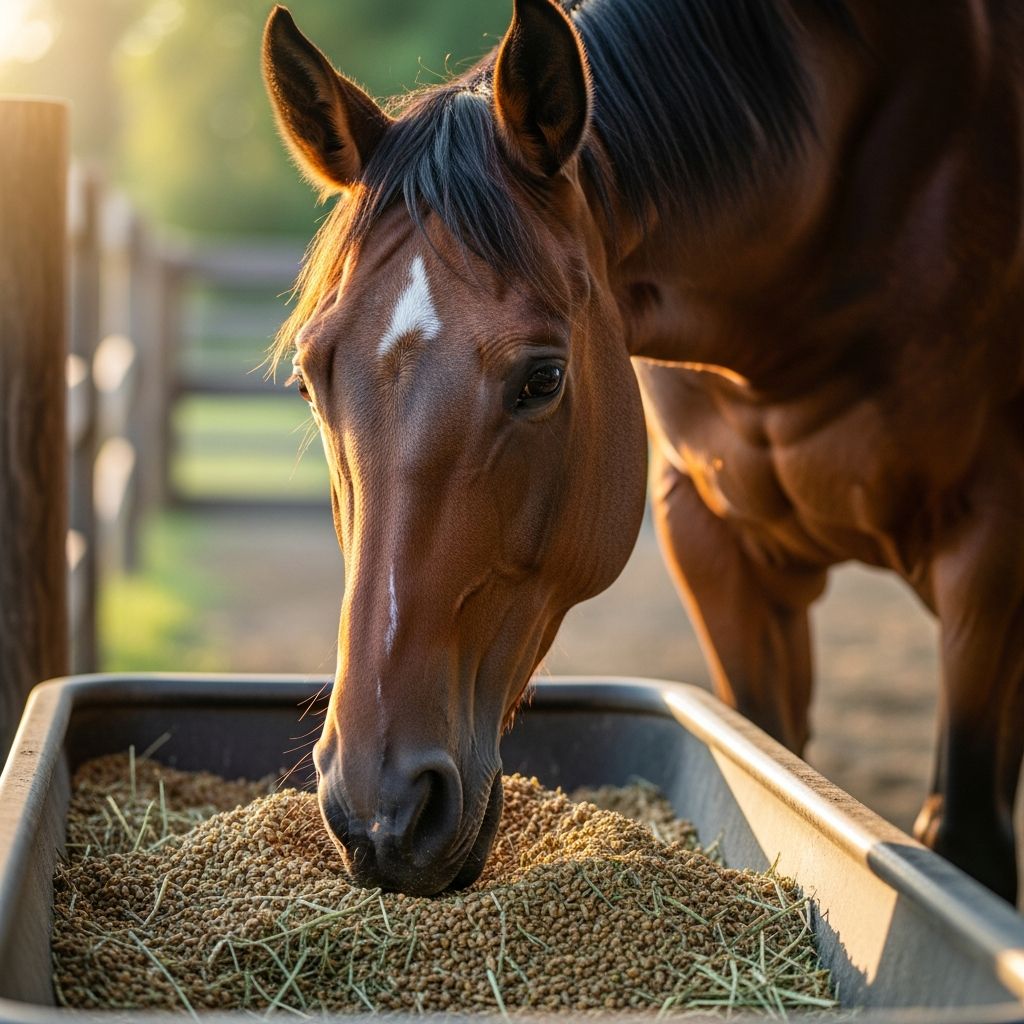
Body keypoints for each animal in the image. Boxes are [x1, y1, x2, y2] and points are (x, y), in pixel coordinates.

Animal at [261, 0, 1024, 900]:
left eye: (543, 378)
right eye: (309, 380)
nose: (384, 812)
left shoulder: (990, 548)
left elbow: (964, 833)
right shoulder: (711, 539)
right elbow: (771, 754)